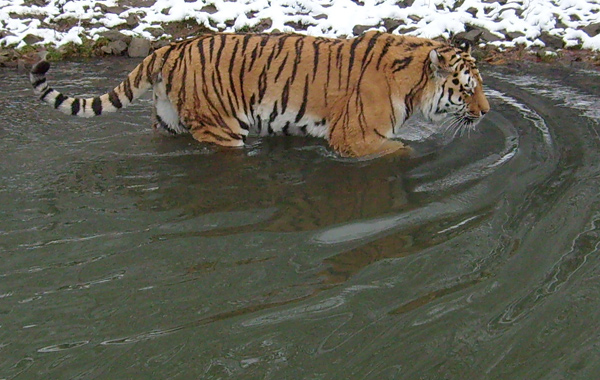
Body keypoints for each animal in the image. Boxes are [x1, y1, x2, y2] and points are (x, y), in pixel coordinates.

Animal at [28, 30, 490, 159]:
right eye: (468, 90)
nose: (486, 112)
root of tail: (171, 46)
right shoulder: (355, 139)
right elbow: (401, 151)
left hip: (168, 122)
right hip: (222, 127)